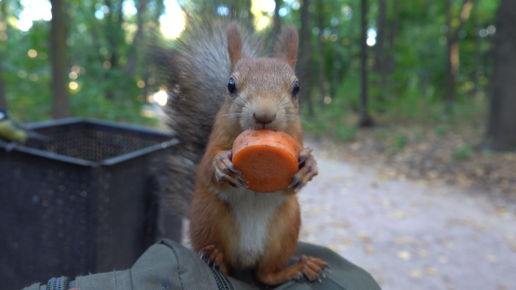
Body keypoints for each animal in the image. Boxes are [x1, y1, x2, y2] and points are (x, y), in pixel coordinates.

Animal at [187, 23, 328, 286]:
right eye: (231, 85)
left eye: (296, 88)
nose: (264, 115)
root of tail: (247, 256)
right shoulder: (216, 137)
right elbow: (205, 167)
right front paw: (220, 164)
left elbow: (292, 182)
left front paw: (309, 166)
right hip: (208, 216)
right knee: (228, 266)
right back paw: (216, 258)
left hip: (287, 225)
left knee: (266, 275)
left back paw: (300, 268)